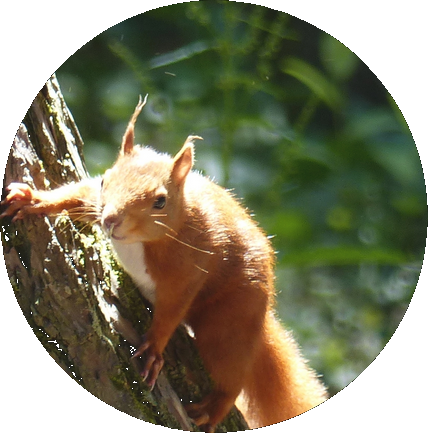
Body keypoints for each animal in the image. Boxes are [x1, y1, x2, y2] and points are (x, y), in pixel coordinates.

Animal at [1, 96, 328, 430]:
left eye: (160, 201)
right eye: (105, 180)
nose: (111, 220)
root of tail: (262, 313)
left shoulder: (188, 271)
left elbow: (171, 310)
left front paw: (154, 349)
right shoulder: (94, 201)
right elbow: (76, 195)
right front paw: (32, 200)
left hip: (228, 319)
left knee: (231, 374)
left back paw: (214, 408)